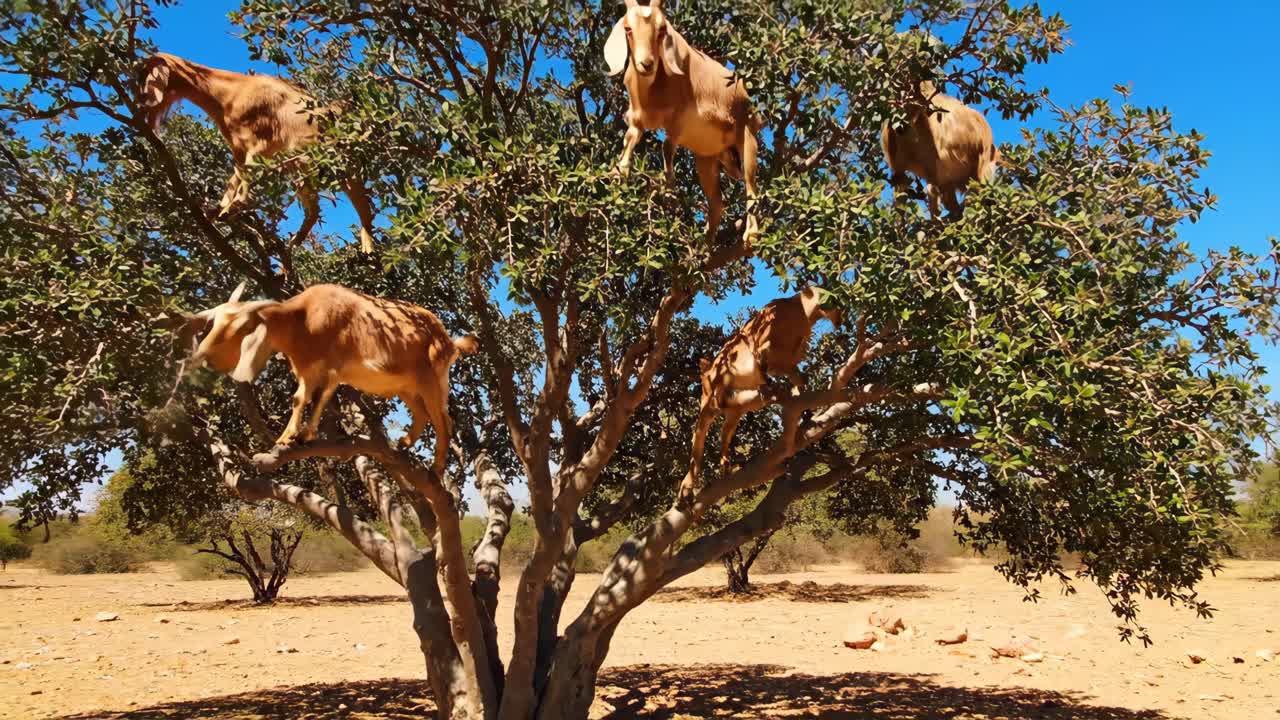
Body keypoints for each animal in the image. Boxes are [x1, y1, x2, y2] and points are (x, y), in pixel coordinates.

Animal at [137, 52, 377, 252]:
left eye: (145, 74)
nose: (141, 102)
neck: (229, 94)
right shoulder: (239, 149)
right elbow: (235, 179)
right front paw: (220, 210)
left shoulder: (262, 144)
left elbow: (246, 179)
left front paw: (234, 206)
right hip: (302, 169)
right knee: (314, 208)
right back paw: (293, 244)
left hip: (343, 166)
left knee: (363, 206)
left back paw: (368, 246)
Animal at [179, 283, 477, 477]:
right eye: (214, 323)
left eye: (241, 328)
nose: (202, 355)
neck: (304, 320)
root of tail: (449, 340)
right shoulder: (308, 370)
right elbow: (300, 398)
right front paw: (290, 436)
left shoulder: (332, 370)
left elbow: (316, 398)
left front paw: (297, 436)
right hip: (406, 386)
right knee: (423, 414)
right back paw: (402, 444)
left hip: (433, 380)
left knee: (443, 421)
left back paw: (436, 468)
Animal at [604, 0, 762, 243]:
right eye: (628, 29)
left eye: (662, 29)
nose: (646, 64)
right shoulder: (636, 119)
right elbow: (629, 140)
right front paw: (618, 175)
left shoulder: (678, 120)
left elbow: (667, 146)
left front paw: (668, 190)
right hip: (707, 156)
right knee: (717, 204)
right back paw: (703, 245)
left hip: (747, 137)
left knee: (751, 187)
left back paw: (750, 236)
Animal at [680, 287, 842, 502]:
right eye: (834, 302)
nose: (841, 318)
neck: (802, 313)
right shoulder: (763, 348)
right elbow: (764, 367)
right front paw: (779, 389)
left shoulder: (788, 361)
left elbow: (799, 379)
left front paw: (798, 398)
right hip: (708, 403)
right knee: (697, 442)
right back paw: (687, 487)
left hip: (736, 412)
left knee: (724, 432)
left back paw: (725, 466)